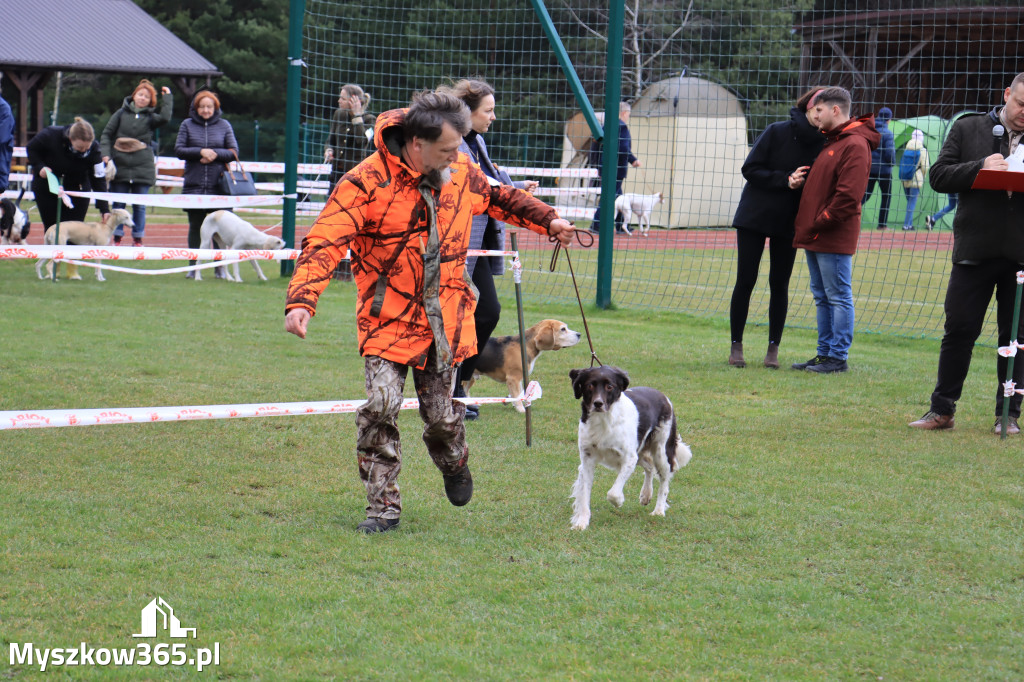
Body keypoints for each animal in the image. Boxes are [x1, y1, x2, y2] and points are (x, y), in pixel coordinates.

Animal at [569, 364, 696, 528]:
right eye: (590, 385)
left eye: (609, 386)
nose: (598, 403)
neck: (604, 420)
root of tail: (663, 397)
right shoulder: (587, 460)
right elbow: (584, 494)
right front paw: (581, 523)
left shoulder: (629, 458)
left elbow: (613, 493)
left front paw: (619, 501)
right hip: (640, 453)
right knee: (649, 465)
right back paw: (646, 495)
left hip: (661, 452)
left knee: (664, 481)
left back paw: (659, 511)